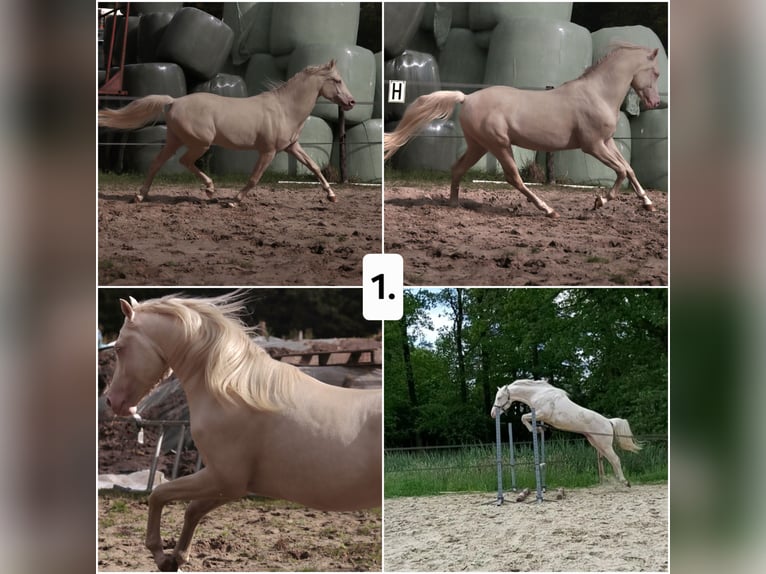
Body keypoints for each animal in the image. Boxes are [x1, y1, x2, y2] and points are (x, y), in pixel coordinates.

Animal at [98, 60, 355, 205]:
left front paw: (331, 195)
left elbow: (314, 167)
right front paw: (234, 200)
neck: (285, 108)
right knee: (183, 161)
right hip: (199, 143)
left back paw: (140, 196)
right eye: (337, 80)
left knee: (156, 164)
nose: (351, 102)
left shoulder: (292, 147)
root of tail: (174, 101)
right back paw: (209, 189)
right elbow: (254, 178)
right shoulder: (268, 152)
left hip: (174, 140)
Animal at [104, 293, 381, 571]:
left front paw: (161, 555)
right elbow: (192, 510)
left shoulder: (223, 479)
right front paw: (176, 558)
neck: (231, 392)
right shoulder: (231, 486)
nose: (111, 401)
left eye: (119, 347)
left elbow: (158, 495)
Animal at [384, 44, 662, 218]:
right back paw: (548, 210)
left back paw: (454, 204)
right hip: (498, 145)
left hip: (478, 146)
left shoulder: (608, 142)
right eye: (657, 73)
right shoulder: (592, 146)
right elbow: (621, 171)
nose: (655, 103)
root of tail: (467, 98)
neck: (598, 93)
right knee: (514, 178)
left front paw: (648, 203)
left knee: (458, 169)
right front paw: (599, 201)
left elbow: (628, 168)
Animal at [490, 379, 641, 486]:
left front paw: (535, 429)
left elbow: (523, 417)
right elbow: (525, 418)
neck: (538, 394)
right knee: (607, 460)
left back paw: (624, 481)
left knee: (615, 459)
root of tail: (609, 422)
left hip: (604, 444)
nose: (492, 414)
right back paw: (610, 481)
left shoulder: (542, 413)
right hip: (596, 443)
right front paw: (539, 429)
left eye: (499, 397)